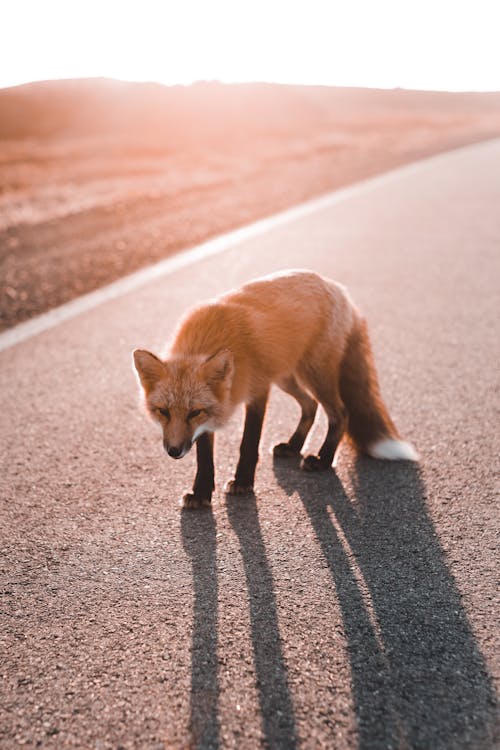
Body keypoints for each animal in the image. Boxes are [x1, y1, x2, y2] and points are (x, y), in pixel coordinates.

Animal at [133, 270, 418, 512]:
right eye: (163, 412)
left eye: (193, 413)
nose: (174, 451)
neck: (208, 338)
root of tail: (337, 287)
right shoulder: (217, 409)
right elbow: (204, 457)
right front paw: (201, 493)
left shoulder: (257, 390)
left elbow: (248, 442)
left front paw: (243, 482)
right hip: (286, 378)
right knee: (310, 405)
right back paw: (293, 446)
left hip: (314, 374)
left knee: (340, 413)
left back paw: (323, 459)